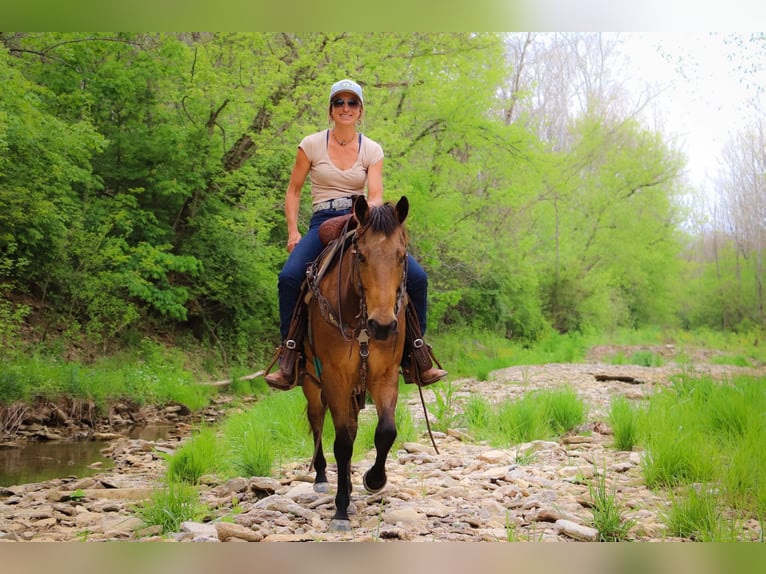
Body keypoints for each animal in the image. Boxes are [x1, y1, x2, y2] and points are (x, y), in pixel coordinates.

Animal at [302, 196, 412, 532]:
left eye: (401, 256)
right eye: (361, 256)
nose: (383, 326)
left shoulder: (384, 376)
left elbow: (386, 431)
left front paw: (374, 480)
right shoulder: (335, 379)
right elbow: (342, 444)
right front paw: (340, 511)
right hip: (311, 380)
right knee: (317, 419)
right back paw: (323, 478)